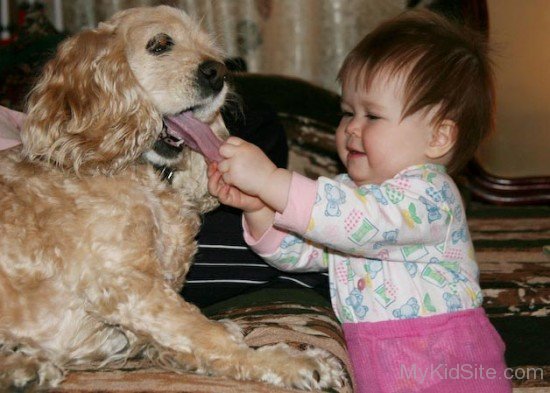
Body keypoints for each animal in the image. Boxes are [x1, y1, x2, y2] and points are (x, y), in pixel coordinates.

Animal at [0, 5, 344, 388]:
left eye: (211, 50)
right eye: (160, 44)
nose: (219, 72)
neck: (148, 178)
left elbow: (193, 340)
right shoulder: (125, 283)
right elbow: (207, 333)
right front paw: (290, 362)